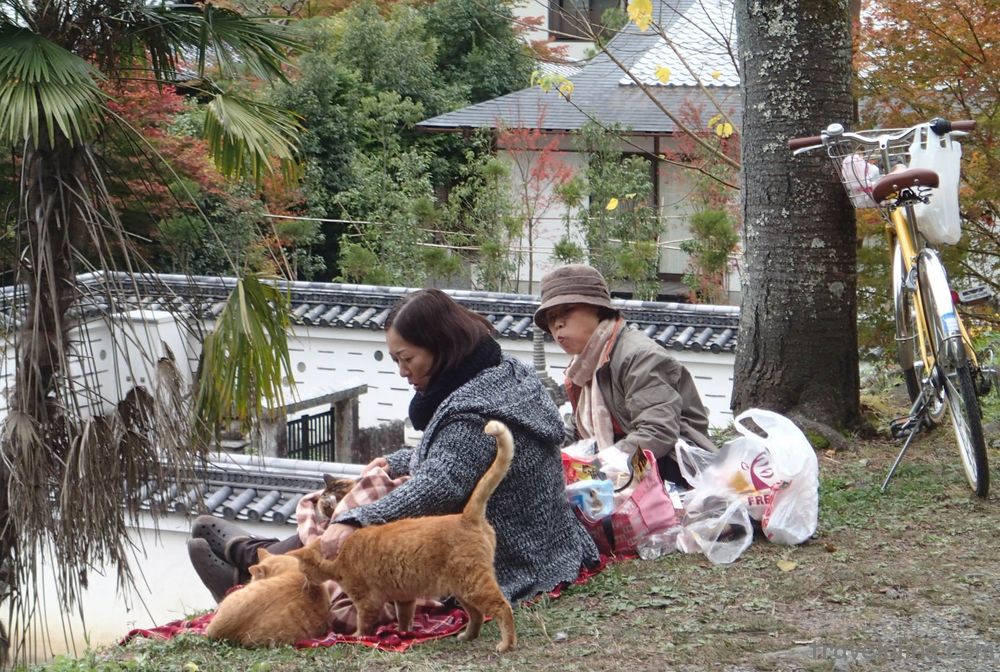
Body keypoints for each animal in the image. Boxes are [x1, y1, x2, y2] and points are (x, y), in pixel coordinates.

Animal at [290, 420, 516, 652]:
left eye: (303, 569)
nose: (305, 581)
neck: (339, 554)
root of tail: (466, 516)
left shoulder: (367, 601)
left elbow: (363, 625)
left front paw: (357, 637)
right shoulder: (404, 597)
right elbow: (404, 618)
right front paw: (403, 633)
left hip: (473, 584)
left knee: (502, 607)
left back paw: (506, 644)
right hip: (461, 590)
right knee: (477, 614)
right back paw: (467, 636)